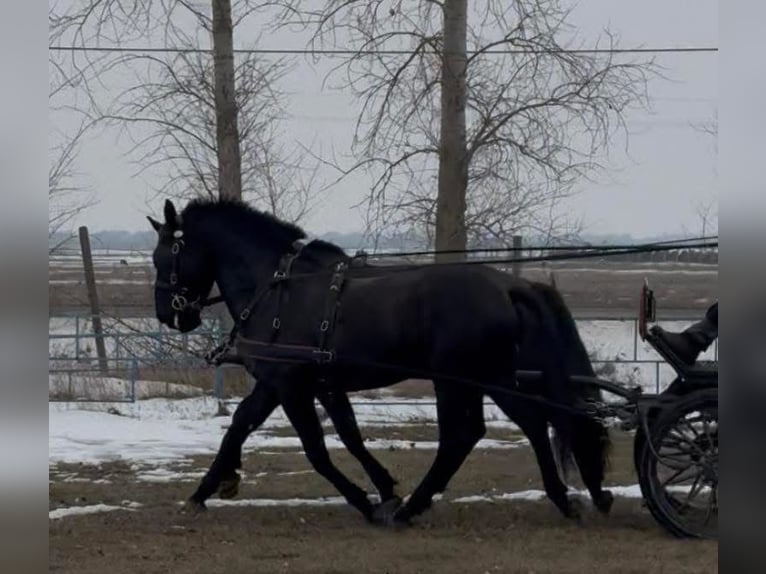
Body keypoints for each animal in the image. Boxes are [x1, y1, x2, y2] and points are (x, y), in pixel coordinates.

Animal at [147, 197, 610, 525]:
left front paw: (368, 502)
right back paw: (561, 498)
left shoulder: (290, 386)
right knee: (525, 423)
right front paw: (206, 489)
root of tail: (508, 285)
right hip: (485, 377)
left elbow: (316, 450)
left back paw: (415, 509)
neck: (279, 289)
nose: (169, 315)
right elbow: (254, 425)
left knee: (466, 436)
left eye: (165, 256)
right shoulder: (300, 385)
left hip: (458, 378)